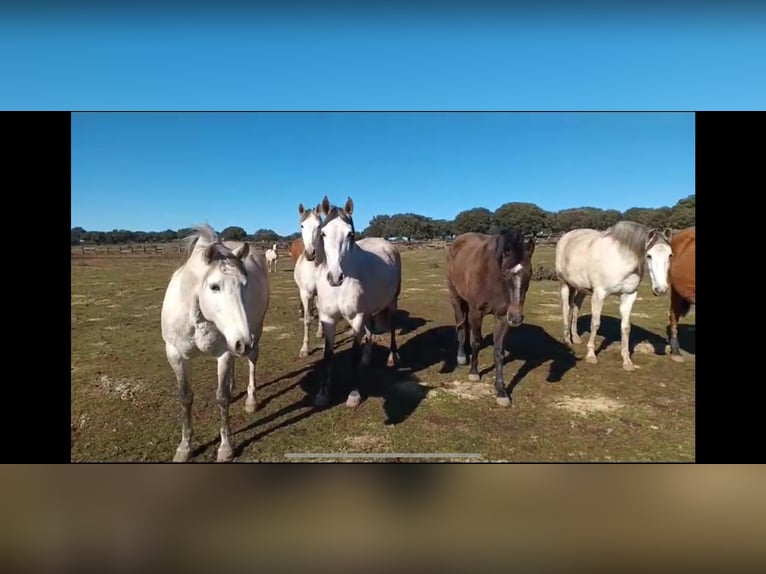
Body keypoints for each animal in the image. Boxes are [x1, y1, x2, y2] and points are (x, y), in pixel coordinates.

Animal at [160, 225, 272, 464]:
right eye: (214, 287)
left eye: (245, 285)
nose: (243, 342)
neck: (197, 317)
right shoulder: (175, 354)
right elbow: (185, 397)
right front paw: (184, 447)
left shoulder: (224, 353)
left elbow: (222, 398)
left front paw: (225, 448)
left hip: (254, 332)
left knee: (252, 361)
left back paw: (251, 400)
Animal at [310, 197, 402, 410]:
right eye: (323, 233)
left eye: (350, 234)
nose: (335, 277)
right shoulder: (328, 319)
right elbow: (328, 355)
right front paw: (322, 394)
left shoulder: (356, 318)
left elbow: (352, 355)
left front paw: (353, 395)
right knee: (369, 333)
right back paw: (366, 360)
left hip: (392, 303)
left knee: (392, 328)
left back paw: (391, 357)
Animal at [448, 230, 536, 410]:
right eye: (505, 273)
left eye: (530, 274)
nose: (516, 318)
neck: (492, 278)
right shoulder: (476, 312)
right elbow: (476, 341)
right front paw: (474, 372)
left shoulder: (502, 317)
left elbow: (498, 352)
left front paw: (501, 391)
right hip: (457, 299)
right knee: (461, 326)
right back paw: (462, 356)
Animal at [556, 220, 676, 374]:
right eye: (649, 255)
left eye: (670, 255)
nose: (661, 290)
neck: (621, 260)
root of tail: (566, 237)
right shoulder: (599, 294)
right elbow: (595, 323)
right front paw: (591, 355)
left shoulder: (629, 295)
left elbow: (625, 328)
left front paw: (627, 361)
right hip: (564, 283)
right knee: (566, 309)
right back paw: (567, 340)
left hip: (582, 288)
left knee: (576, 306)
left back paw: (576, 337)